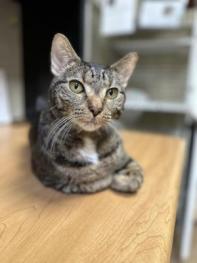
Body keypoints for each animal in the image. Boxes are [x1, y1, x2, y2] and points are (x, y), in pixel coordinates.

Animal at [29, 33, 143, 194]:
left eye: (112, 93)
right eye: (76, 86)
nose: (96, 108)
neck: (89, 138)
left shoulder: (123, 154)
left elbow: (135, 168)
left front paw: (124, 178)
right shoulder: (50, 173)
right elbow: (89, 177)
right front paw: (108, 176)